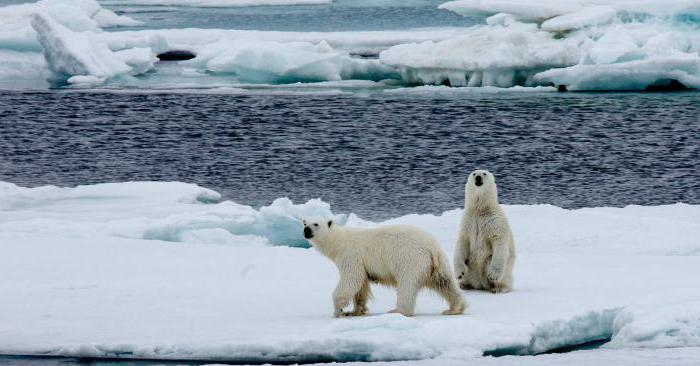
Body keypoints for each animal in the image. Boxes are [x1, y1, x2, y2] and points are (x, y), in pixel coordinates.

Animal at [304, 220, 468, 318]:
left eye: (316, 224)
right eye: (304, 221)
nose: (306, 230)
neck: (339, 242)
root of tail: (431, 247)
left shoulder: (351, 255)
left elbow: (352, 279)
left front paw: (338, 310)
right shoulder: (362, 263)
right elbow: (361, 287)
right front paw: (355, 311)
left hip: (410, 260)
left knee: (407, 286)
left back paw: (398, 311)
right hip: (439, 263)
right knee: (444, 283)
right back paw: (455, 308)